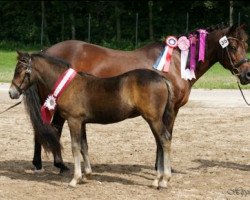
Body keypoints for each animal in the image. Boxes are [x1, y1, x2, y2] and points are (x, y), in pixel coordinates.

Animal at [9, 52, 174, 188]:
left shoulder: (73, 120)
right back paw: (157, 179)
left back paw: (164, 180)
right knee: (160, 143)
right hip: (154, 120)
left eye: (20, 70)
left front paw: (75, 179)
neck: (68, 85)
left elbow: (75, 147)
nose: (12, 93)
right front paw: (86, 175)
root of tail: (162, 78)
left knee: (164, 140)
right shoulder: (82, 122)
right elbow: (84, 146)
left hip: (153, 119)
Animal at [22, 23, 250, 175]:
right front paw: (161, 168)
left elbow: (163, 136)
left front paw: (161, 167)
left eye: (245, 46)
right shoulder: (169, 110)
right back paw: (56, 165)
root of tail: (44, 52)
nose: (247, 75)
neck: (177, 63)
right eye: (231, 47)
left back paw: (42, 163)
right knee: (50, 128)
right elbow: (164, 136)